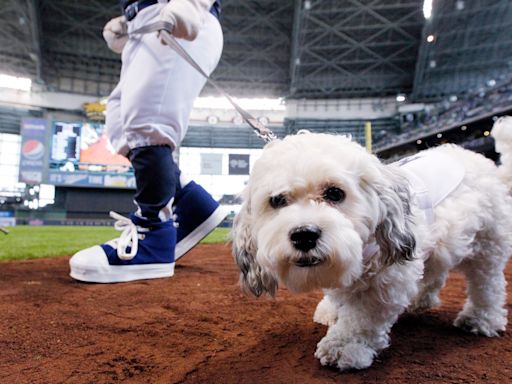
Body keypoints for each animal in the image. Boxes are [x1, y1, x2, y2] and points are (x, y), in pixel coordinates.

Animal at [231, 118, 512, 372]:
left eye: (335, 193)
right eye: (277, 200)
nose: (304, 235)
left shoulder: (388, 280)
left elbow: (363, 318)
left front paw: (344, 345)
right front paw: (331, 309)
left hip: (488, 246)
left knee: (487, 285)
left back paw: (480, 319)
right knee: (435, 273)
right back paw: (421, 301)